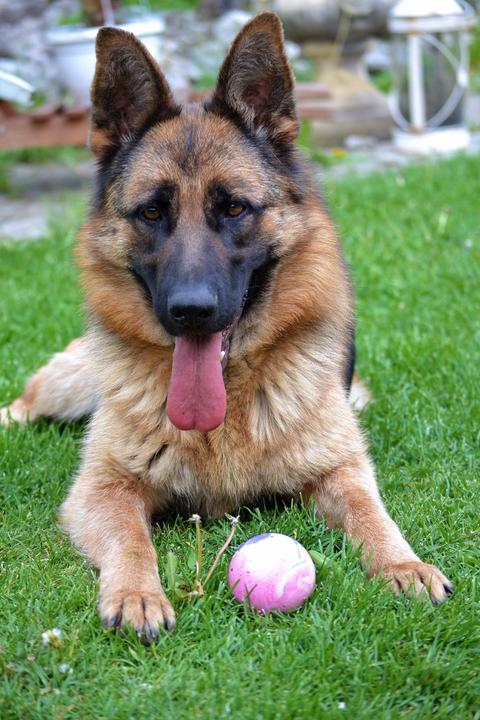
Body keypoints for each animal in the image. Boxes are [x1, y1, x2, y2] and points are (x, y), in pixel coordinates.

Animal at [1, 13, 452, 639]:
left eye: (234, 208)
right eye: (152, 211)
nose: (191, 310)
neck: (224, 417)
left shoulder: (342, 468)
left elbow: (372, 513)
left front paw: (403, 565)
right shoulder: (102, 488)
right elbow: (130, 536)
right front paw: (137, 593)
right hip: (68, 385)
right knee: (24, 403)